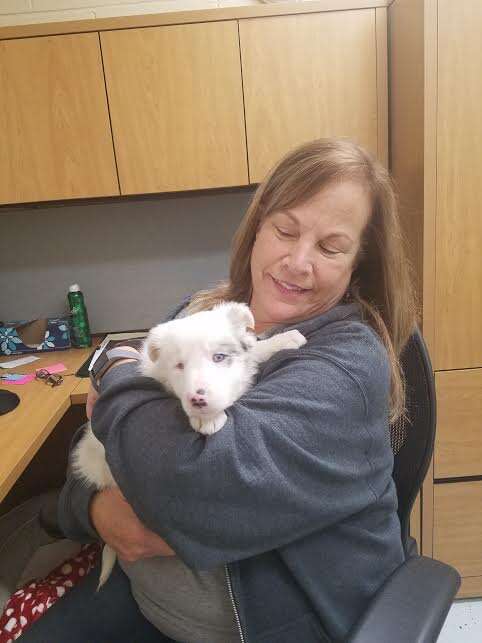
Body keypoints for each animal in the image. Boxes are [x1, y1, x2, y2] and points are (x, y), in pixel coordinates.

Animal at [71, 302, 306, 588]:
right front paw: (206, 418)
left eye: (219, 357)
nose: (197, 400)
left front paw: (284, 340)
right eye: (179, 366)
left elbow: (252, 351)